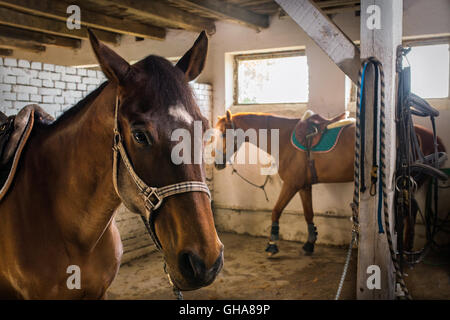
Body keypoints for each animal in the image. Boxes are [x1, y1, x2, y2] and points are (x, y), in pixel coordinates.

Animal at [213, 111, 444, 256]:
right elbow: (309, 214)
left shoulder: (291, 185)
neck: (285, 139)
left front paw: (272, 245)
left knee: (409, 213)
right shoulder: (304, 186)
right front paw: (309, 243)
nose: (216, 163)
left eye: (224, 133)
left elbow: (276, 211)